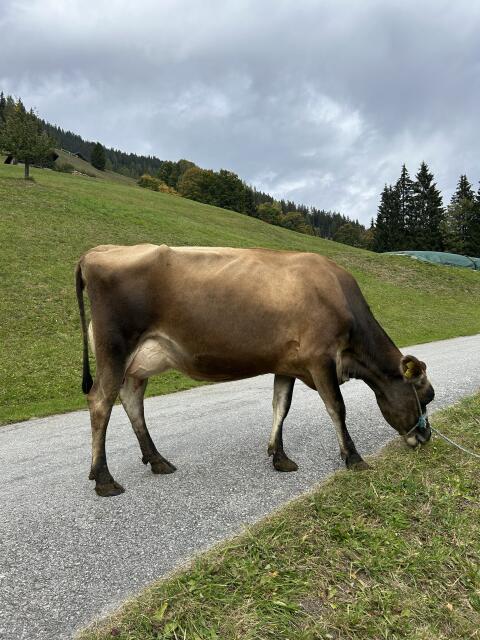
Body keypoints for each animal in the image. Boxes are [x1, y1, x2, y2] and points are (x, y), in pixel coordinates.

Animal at [76, 244, 434, 497]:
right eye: (425, 395)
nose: (426, 436)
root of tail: (99, 251)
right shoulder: (320, 359)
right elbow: (336, 408)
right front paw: (354, 457)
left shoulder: (287, 363)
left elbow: (281, 406)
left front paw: (279, 456)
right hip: (115, 348)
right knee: (100, 403)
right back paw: (104, 479)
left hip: (138, 363)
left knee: (132, 401)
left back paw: (157, 461)